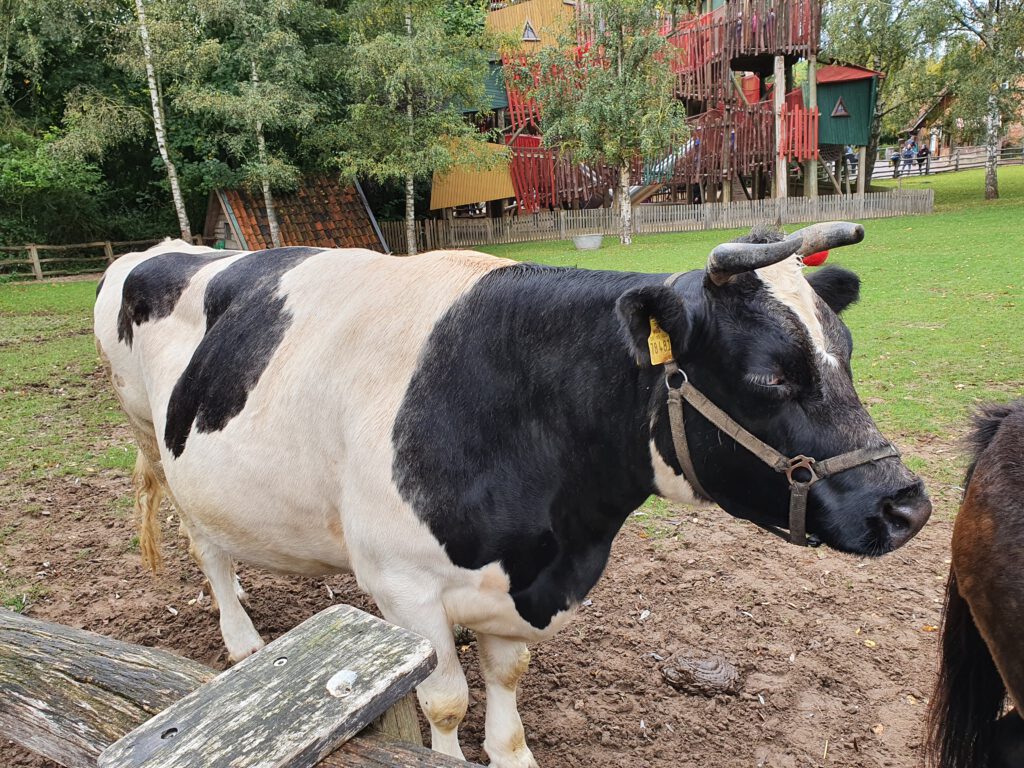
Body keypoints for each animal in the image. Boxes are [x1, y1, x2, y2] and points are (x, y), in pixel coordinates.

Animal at [94, 227, 929, 768]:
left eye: (847, 353)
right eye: (771, 376)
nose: (907, 507)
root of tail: (157, 250)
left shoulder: (521, 585)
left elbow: (507, 682)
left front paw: (511, 752)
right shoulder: (404, 588)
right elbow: (444, 702)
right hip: (148, 432)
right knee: (204, 545)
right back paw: (240, 639)